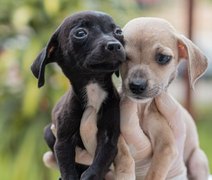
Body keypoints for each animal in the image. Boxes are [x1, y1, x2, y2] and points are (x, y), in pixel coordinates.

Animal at [30, 10, 130, 180]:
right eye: (81, 33)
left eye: (118, 32)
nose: (115, 45)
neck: (93, 86)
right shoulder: (63, 141)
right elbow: (68, 169)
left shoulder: (109, 138)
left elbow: (99, 163)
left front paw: (91, 175)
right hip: (48, 132)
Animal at [120, 17, 210, 180]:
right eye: (123, 57)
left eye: (163, 58)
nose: (136, 85)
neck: (141, 109)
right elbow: (122, 155)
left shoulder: (167, 146)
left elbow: (154, 174)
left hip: (198, 159)